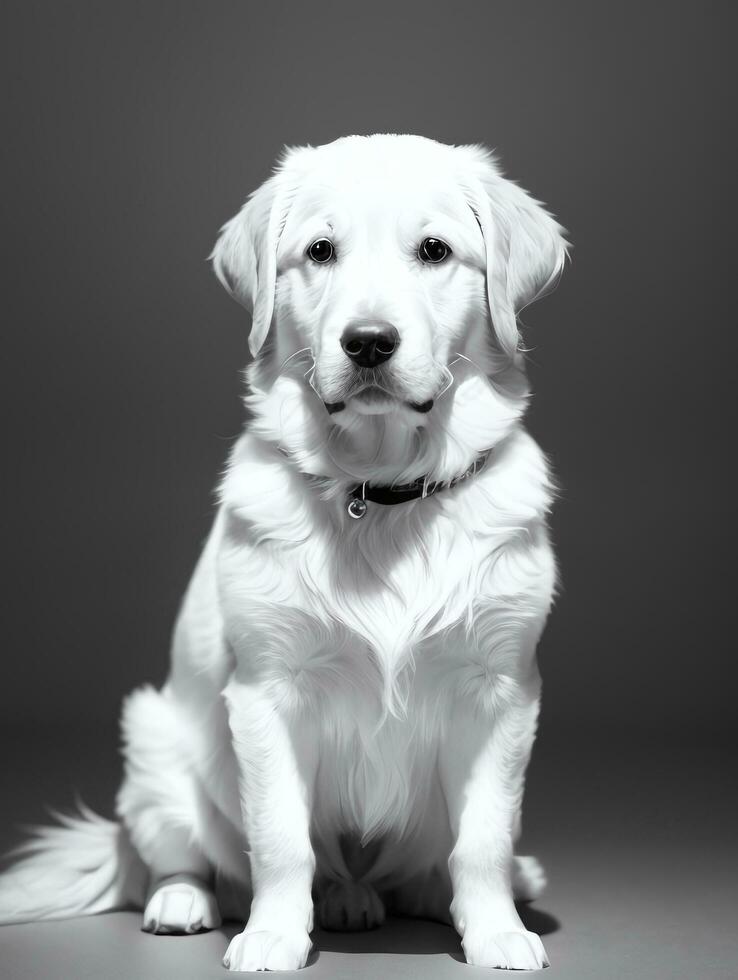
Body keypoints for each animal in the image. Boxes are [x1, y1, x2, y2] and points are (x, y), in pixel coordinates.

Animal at [0, 132, 568, 972]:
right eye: (320, 251)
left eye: (435, 251)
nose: (368, 343)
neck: (383, 494)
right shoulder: (267, 691)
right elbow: (279, 839)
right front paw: (271, 934)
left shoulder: (500, 689)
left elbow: (485, 838)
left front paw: (496, 931)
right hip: (154, 743)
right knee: (183, 857)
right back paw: (190, 901)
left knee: (425, 869)